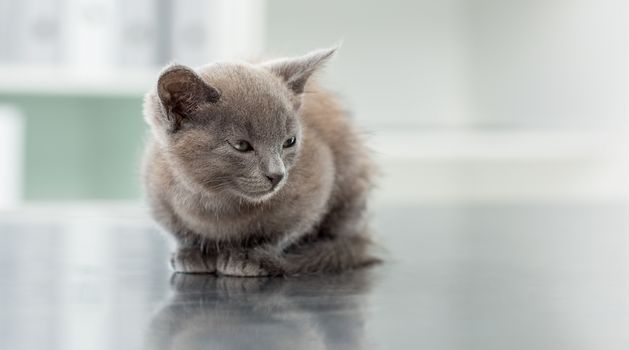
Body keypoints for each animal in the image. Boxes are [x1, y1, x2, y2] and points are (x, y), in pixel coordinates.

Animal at [142, 46, 376, 276]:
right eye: (241, 146)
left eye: (289, 141)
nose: (278, 175)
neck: (216, 202)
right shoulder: (157, 193)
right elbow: (179, 231)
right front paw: (192, 252)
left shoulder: (317, 181)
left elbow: (284, 232)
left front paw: (250, 257)